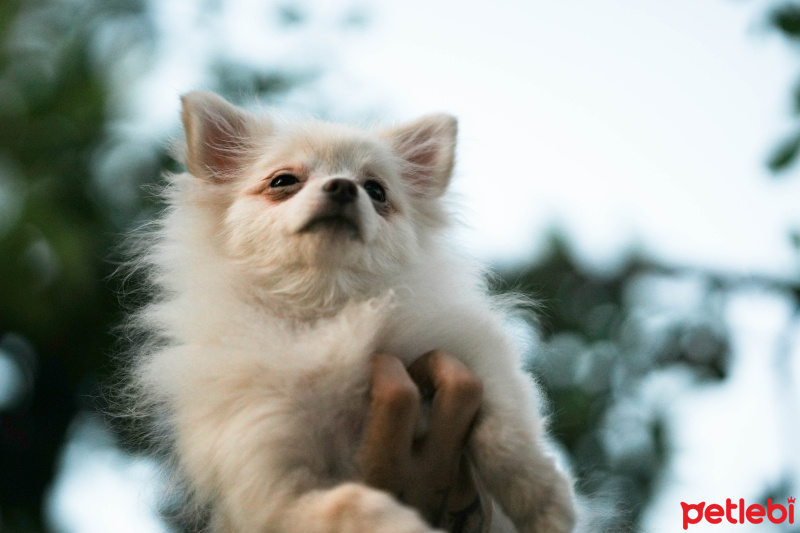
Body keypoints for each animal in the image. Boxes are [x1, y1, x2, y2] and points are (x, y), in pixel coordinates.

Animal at [123, 91, 576, 532]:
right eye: (283, 181)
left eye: (375, 191)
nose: (343, 187)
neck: (326, 304)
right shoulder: (270, 487)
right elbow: (350, 505)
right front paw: (402, 524)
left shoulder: (469, 354)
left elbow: (506, 428)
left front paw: (544, 501)